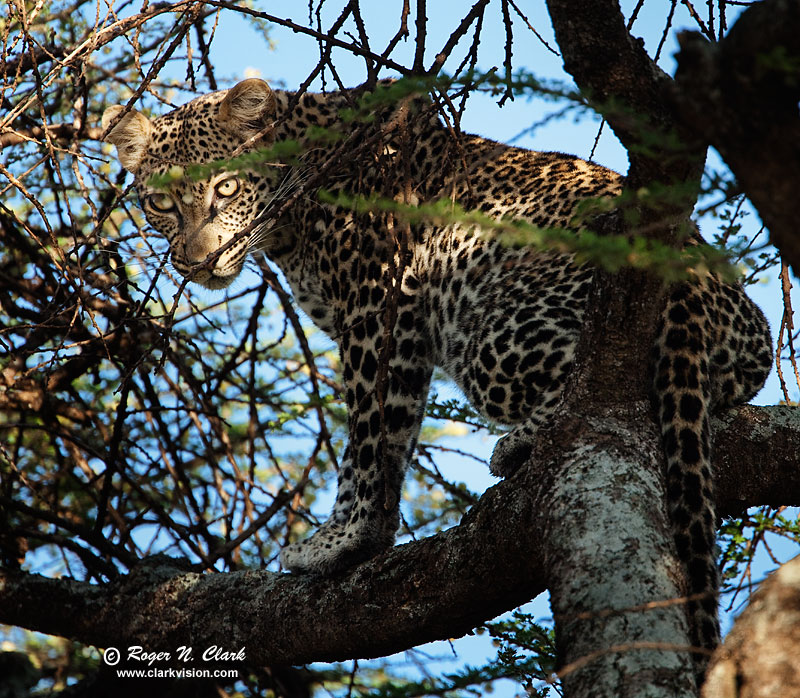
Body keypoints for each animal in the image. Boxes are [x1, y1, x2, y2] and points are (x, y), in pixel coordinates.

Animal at [103, 79, 772, 660]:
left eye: (224, 189)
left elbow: (367, 437)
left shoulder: (378, 306)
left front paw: (342, 540)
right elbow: (393, 430)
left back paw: (520, 445)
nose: (197, 260)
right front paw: (362, 535)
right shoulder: (401, 332)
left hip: (494, 332)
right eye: (160, 203)